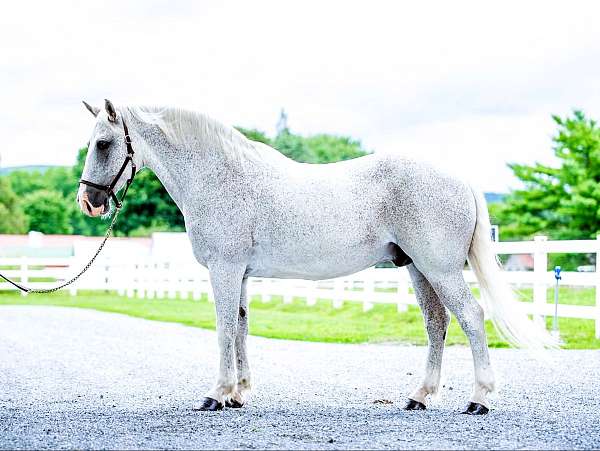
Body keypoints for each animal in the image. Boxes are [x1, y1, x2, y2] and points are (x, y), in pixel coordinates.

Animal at [77, 100, 556, 416]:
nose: (88, 202)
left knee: (471, 317)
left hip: (440, 269)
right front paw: (240, 393)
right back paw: (419, 396)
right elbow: (241, 328)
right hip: (419, 270)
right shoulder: (241, 273)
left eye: (103, 143)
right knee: (437, 324)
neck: (221, 176)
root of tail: (459, 178)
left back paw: (479, 399)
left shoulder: (225, 269)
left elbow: (223, 328)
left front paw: (216, 394)